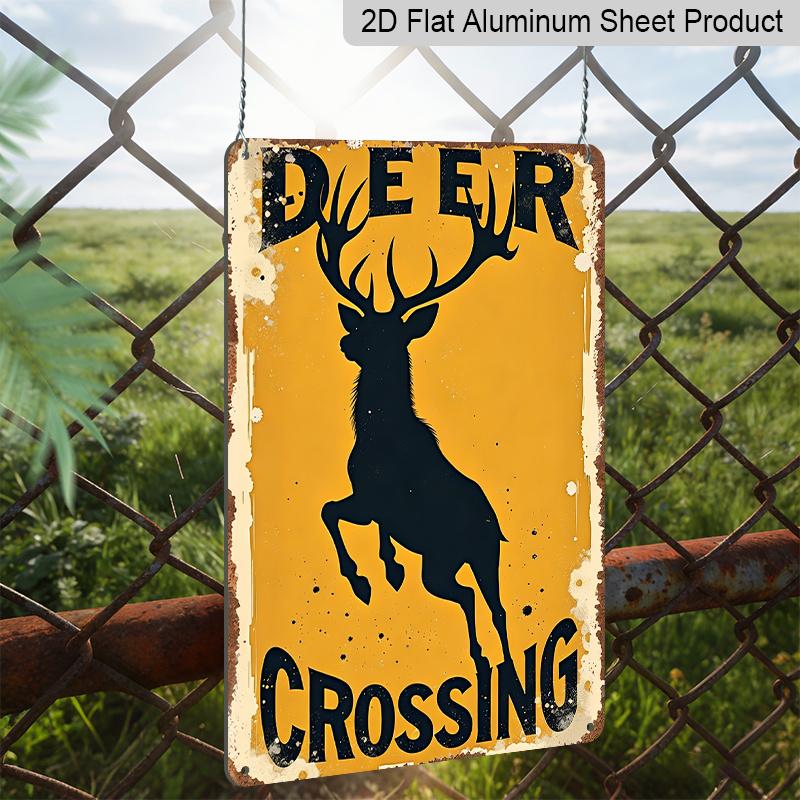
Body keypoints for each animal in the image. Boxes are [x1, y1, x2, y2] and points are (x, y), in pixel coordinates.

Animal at [313, 168, 518, 673]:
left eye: (381, 333)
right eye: (361, 324)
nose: (345, 342)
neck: (375, 433)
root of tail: (490, 527)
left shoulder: (370, 498)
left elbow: (328, 510)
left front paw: (362, 579)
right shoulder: (377, 508)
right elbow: (368, 529)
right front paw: (389, 565)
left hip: (452, 560)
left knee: (473, 599)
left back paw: (488, 660)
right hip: (474, 560)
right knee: (488, 603)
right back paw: (497, 662)